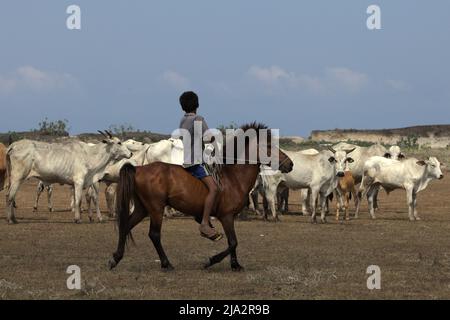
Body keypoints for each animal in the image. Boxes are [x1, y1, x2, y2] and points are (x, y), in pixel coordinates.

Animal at [107, 122, 294, 270]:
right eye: (269, 146)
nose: (290, 164)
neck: (233, 177)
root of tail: (138, 169)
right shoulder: (226, 216)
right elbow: (233, 242)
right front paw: (212, 260)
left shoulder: (229, 217)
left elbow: (232, 242)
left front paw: (235, 265)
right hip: (155, 208)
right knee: (154, 234)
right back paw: (166, 263)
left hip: (143, 208)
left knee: (126, 226)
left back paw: (115, 258)